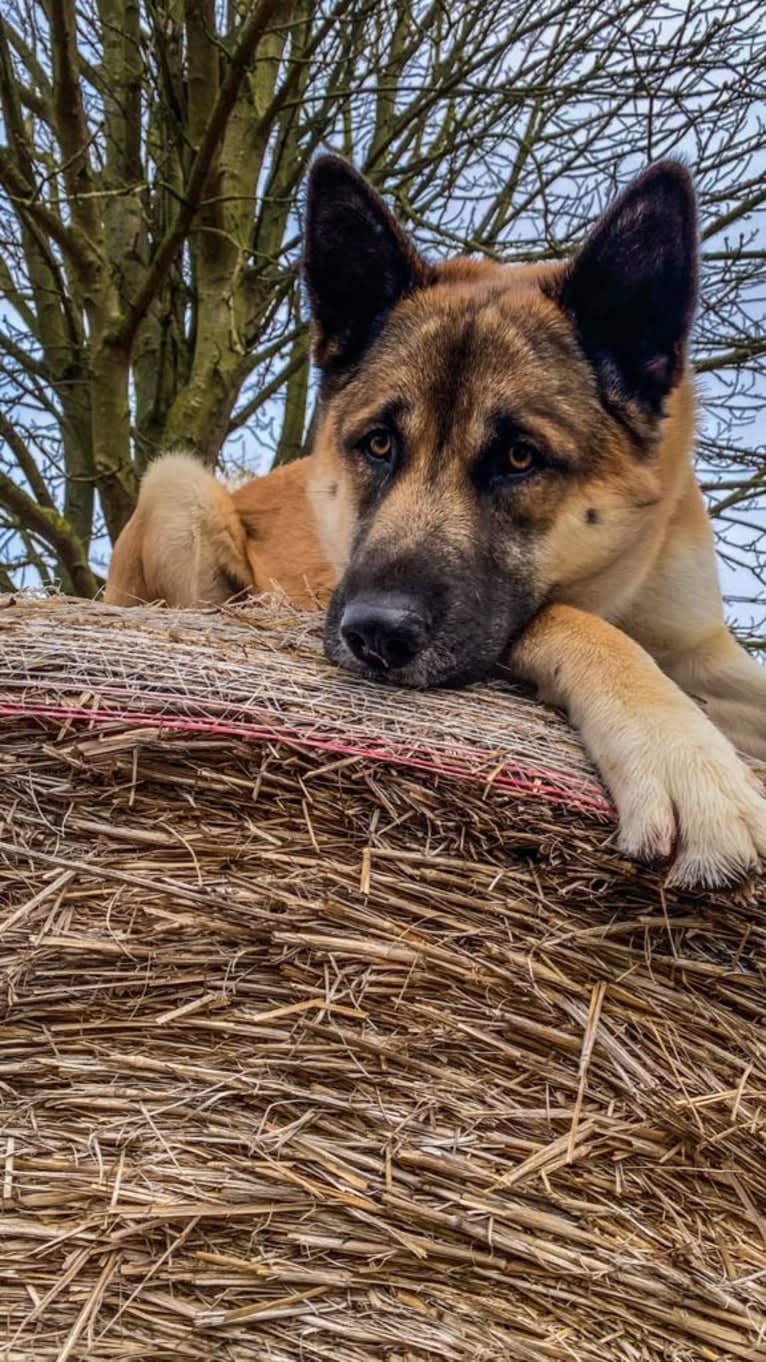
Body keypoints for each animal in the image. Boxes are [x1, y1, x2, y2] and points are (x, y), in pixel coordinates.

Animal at [102, 154, 763, 888]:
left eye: (519, 457)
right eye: (379, 444)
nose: (375, 635)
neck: (621, 577)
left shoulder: (705, 651)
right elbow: (573, 621)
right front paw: (679, 751)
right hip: (176, 484)